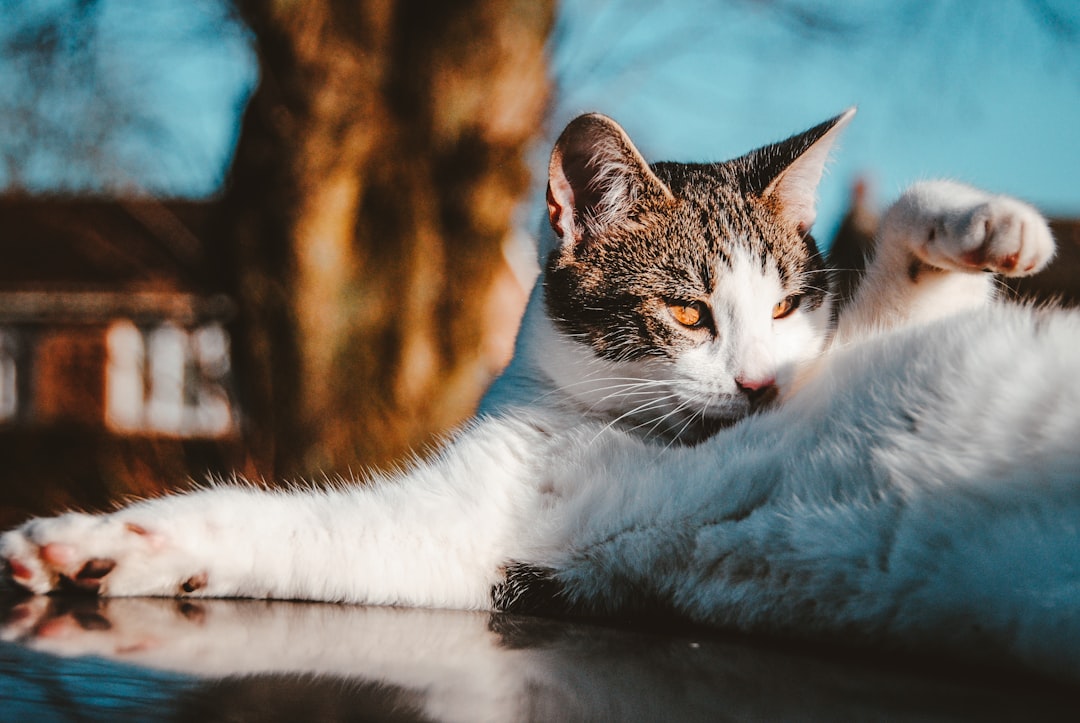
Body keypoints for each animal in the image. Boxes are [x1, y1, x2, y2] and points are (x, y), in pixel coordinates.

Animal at [2, 110, 1080, 678]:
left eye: (782, 306)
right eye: (687, 313)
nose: (763, 382)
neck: (620, 424)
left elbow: (901, 281)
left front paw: (995, 225)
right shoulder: (471, 535)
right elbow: (260, 522)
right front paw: (99, 546)